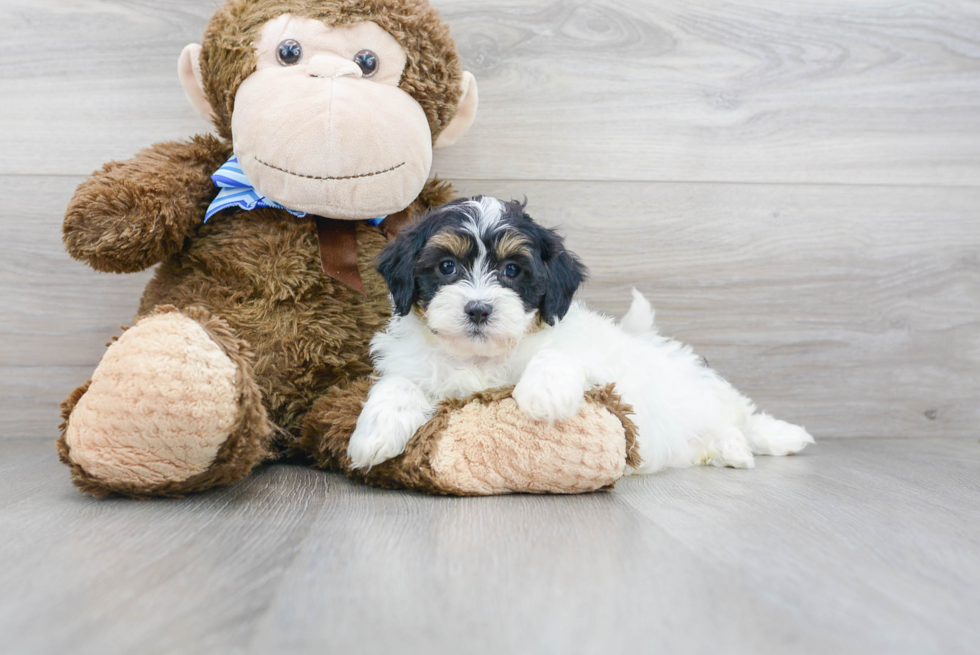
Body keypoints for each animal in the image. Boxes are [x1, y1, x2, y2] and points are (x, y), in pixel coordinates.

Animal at [344, 197, 812, 474]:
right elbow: (397, 384)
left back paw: (775, 437)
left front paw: (544, 395)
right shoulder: (415, 368)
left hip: (701, 390)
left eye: (512, 270)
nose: (478, 309)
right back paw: (725, 449)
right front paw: (373, 435)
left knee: (741, 413)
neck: (481, 358)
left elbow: (557, 355)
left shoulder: (591, 361)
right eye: (447, 267)